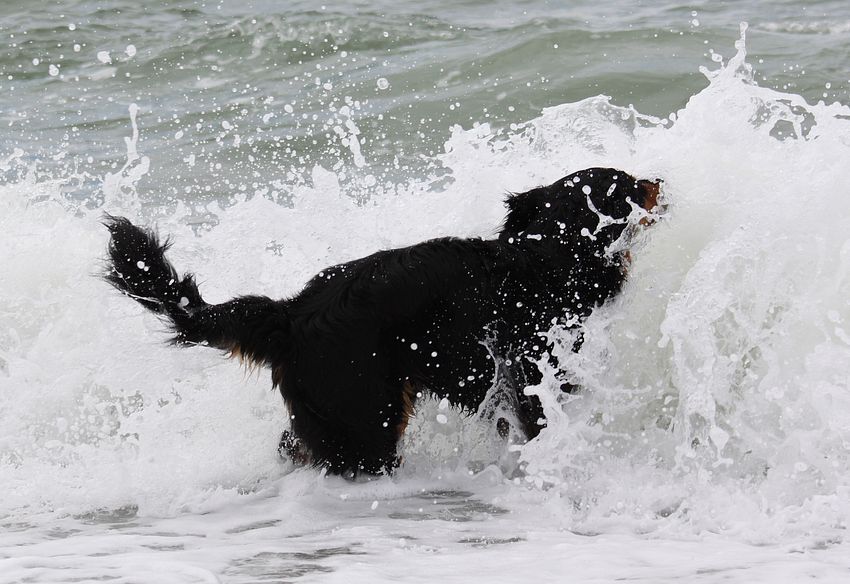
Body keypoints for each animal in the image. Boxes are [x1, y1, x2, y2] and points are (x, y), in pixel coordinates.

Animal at [104, 167, 661, 476]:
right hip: (369, 419)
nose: (659, 178)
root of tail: (290, 312)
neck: (546, 257)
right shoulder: (531, 381)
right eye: (632, 184)